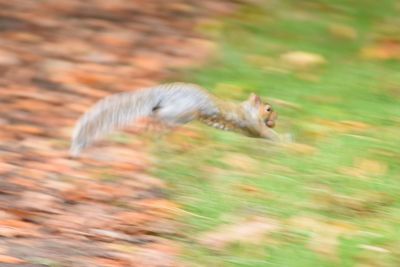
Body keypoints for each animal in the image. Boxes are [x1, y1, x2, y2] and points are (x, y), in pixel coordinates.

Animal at [69, 82, 282, 156]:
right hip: (184, 112)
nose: (276, 119)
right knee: (161, 117)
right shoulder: (252, 125)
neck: (247, 109)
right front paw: (284, 140)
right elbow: (264, 133)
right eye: (268, 109)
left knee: (154, 117)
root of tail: (165, 92)